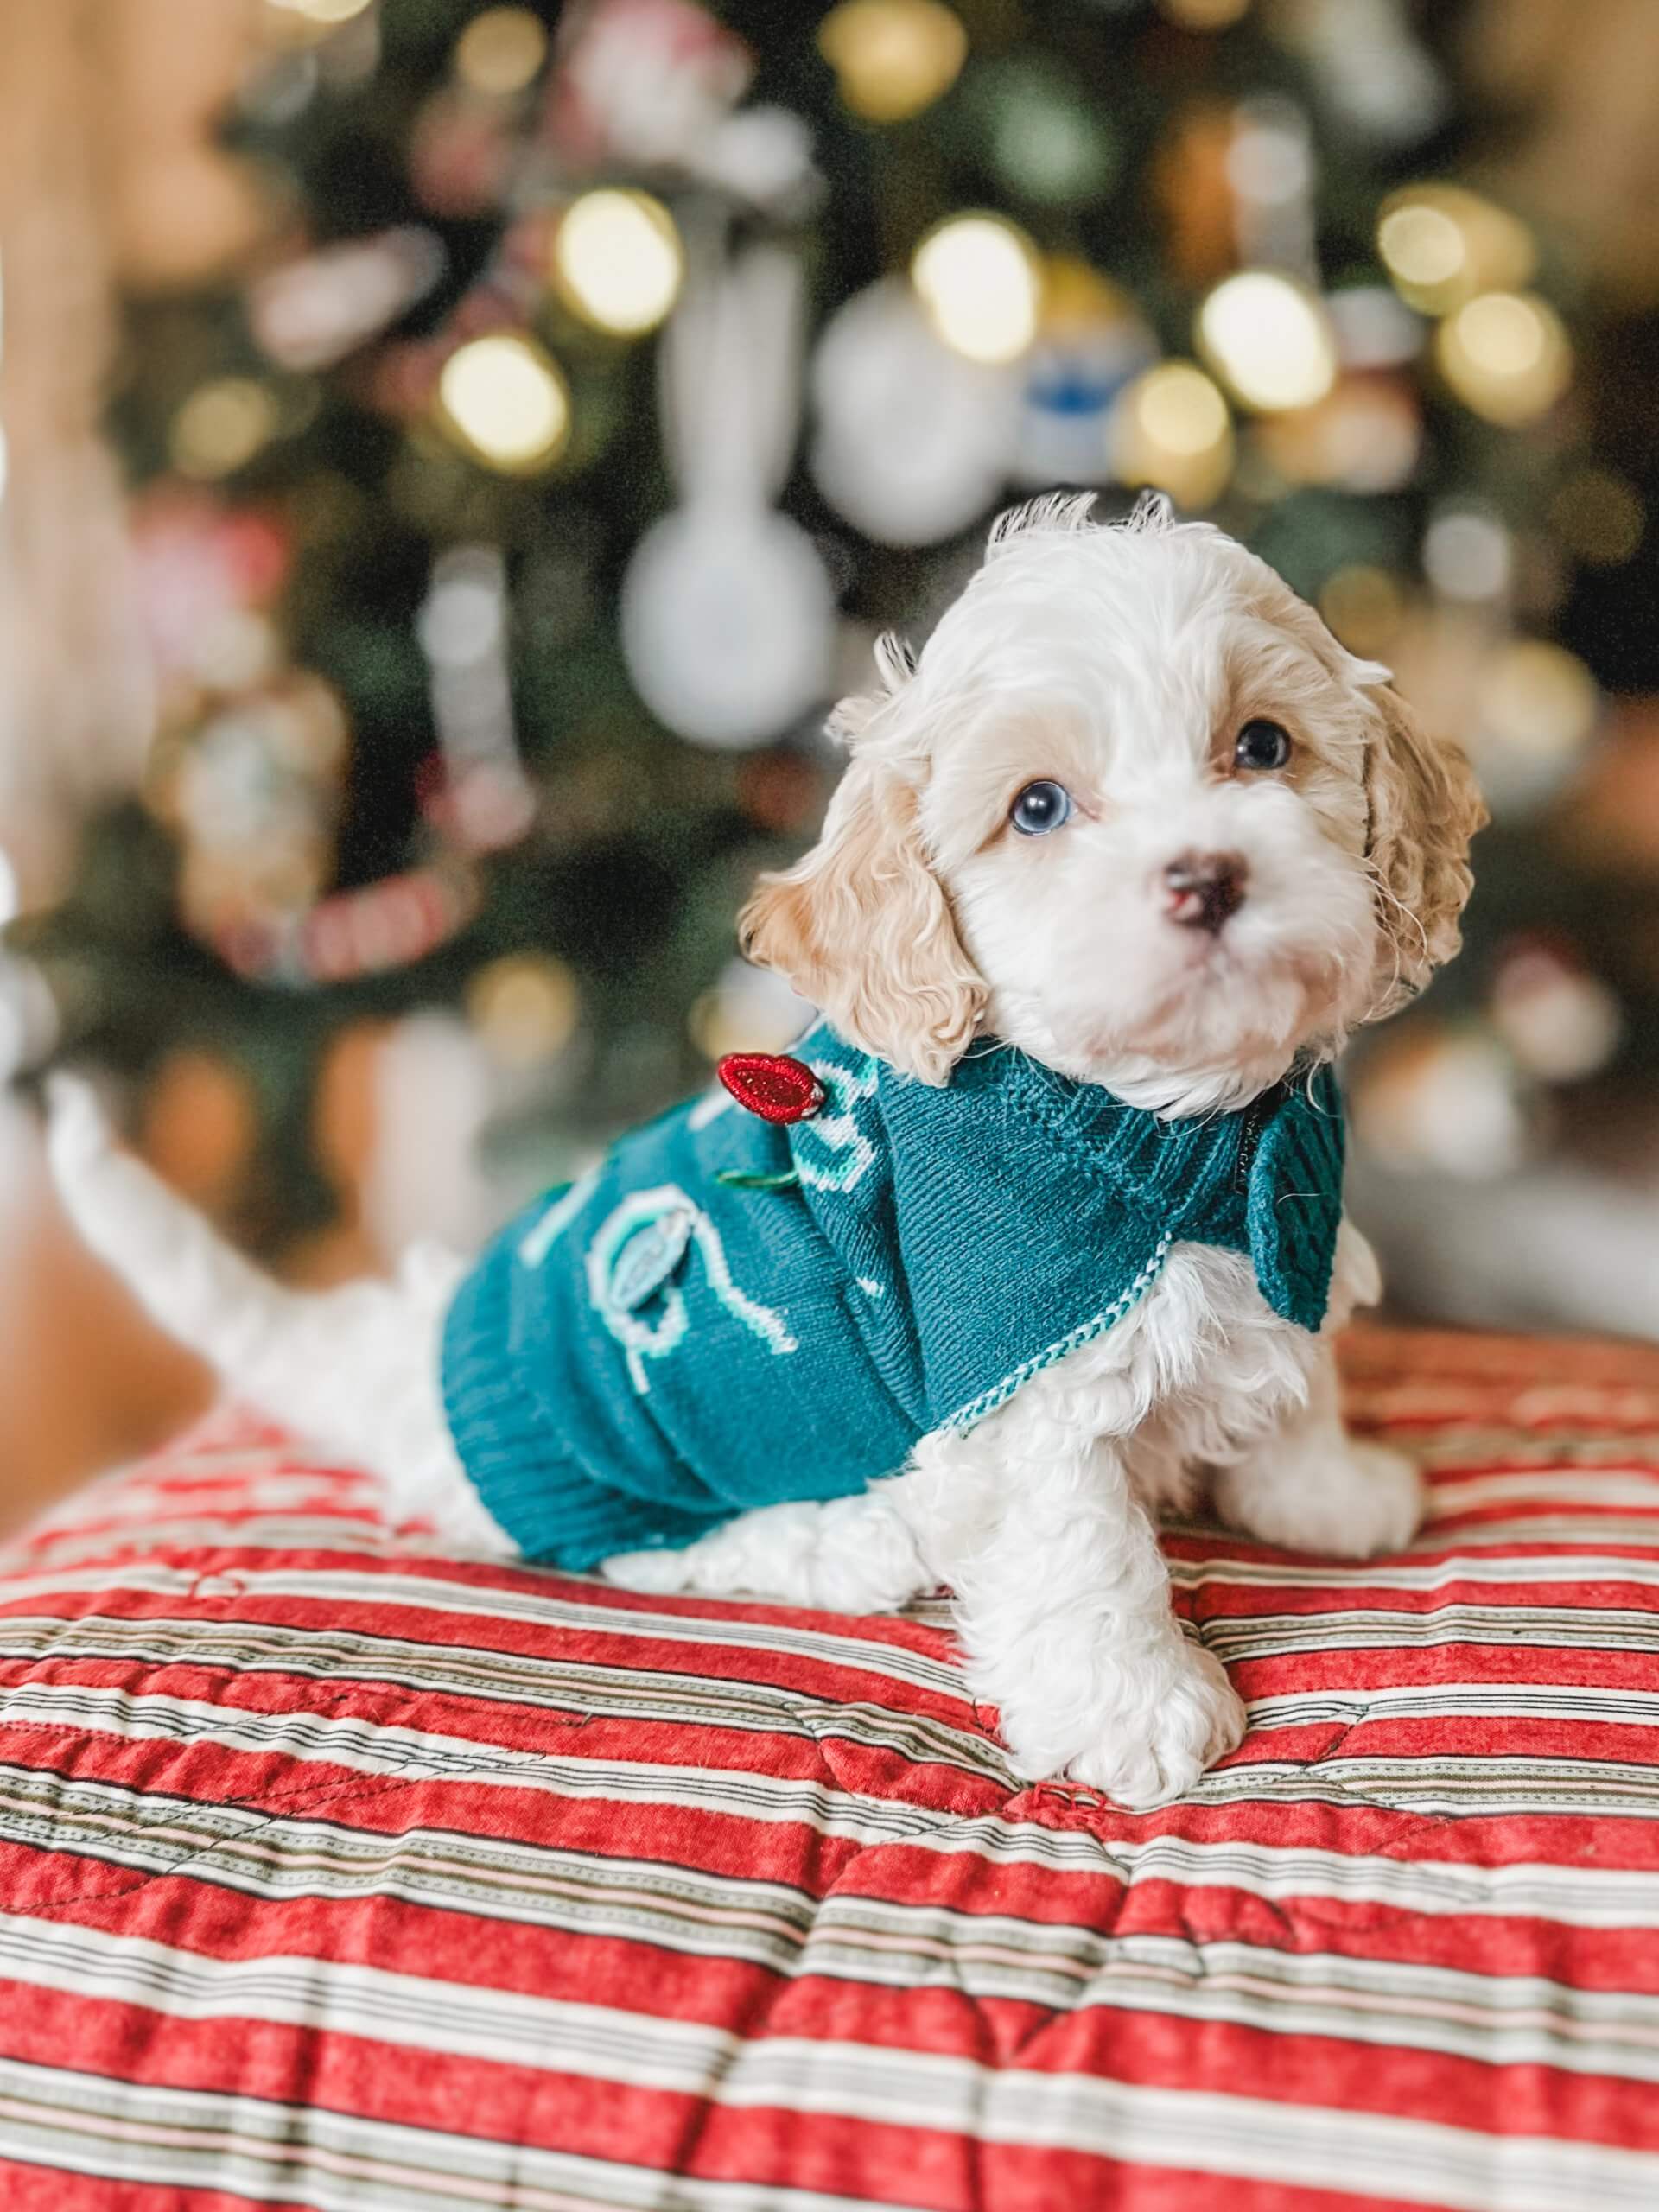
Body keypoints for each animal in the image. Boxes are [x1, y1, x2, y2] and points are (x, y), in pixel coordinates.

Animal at [48, 502, 1478, 1814]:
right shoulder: (1014, 1388)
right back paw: (857, 1537)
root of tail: (420, 1354)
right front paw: (1137, 1712)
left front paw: (1324, 1490)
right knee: (652, 1557)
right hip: (624, 1468)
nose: (1207, 877)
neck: (1173, 1129)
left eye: (1264, 746)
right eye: (1037, 808)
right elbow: (1082, 1548)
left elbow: (1301, 1370)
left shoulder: (1294, 1226)